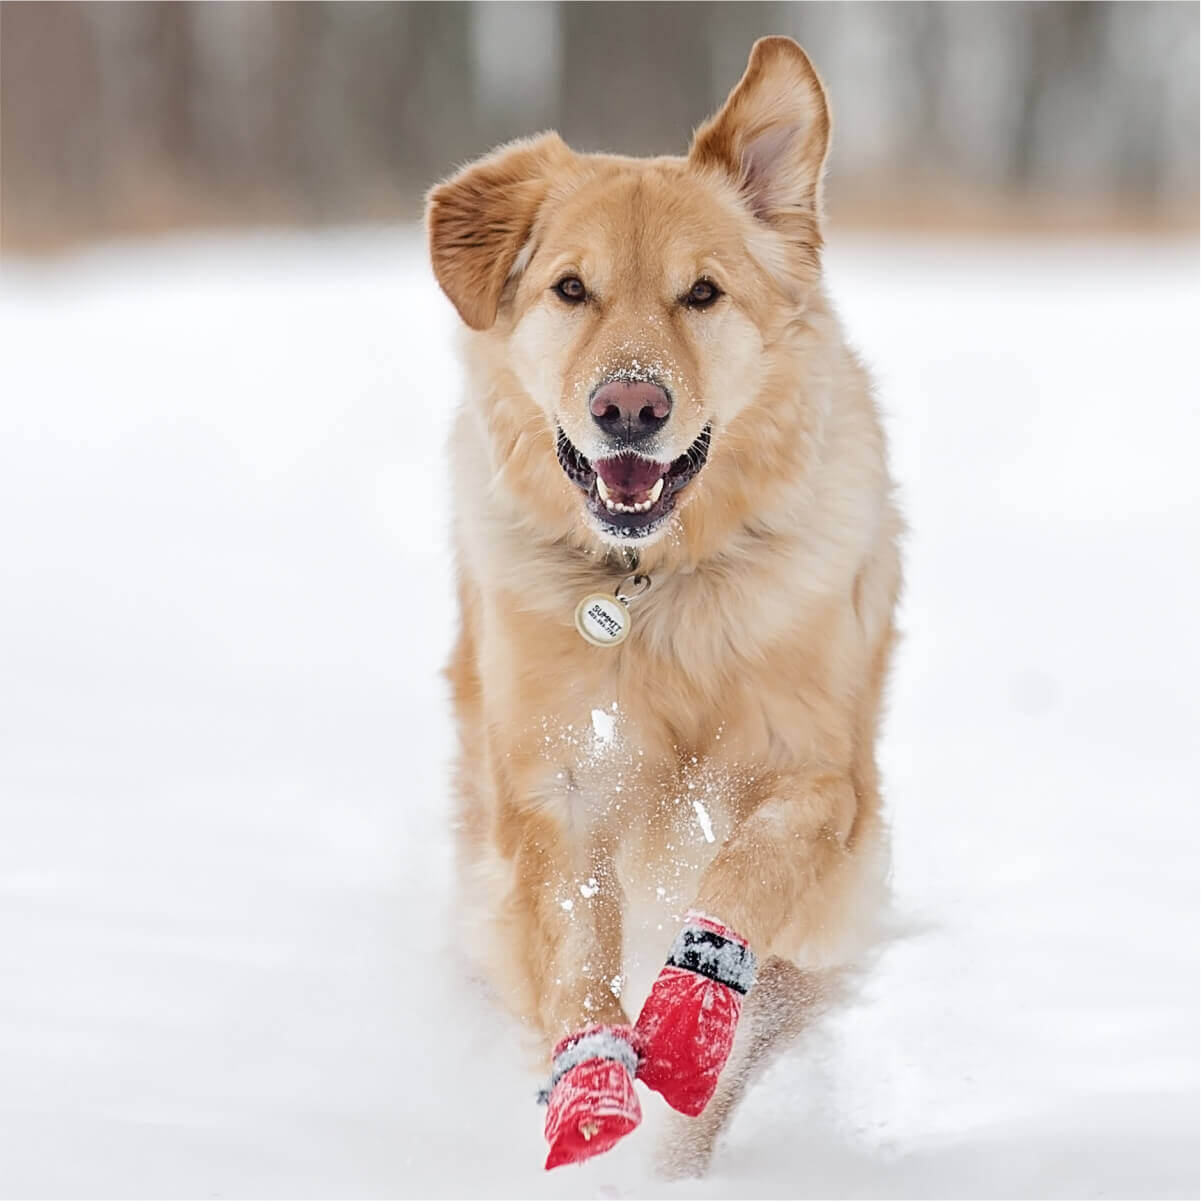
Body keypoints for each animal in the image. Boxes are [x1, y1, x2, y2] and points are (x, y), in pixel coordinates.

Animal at [427, 37, 898, 1172]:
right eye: (571, 288)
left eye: (702, 294)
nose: (629, 407)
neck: (656, 590)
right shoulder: (552, 781)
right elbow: (572, 934)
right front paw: (591, 1081)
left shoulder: (818, 780)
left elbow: (742, 878)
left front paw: (687, 1025)